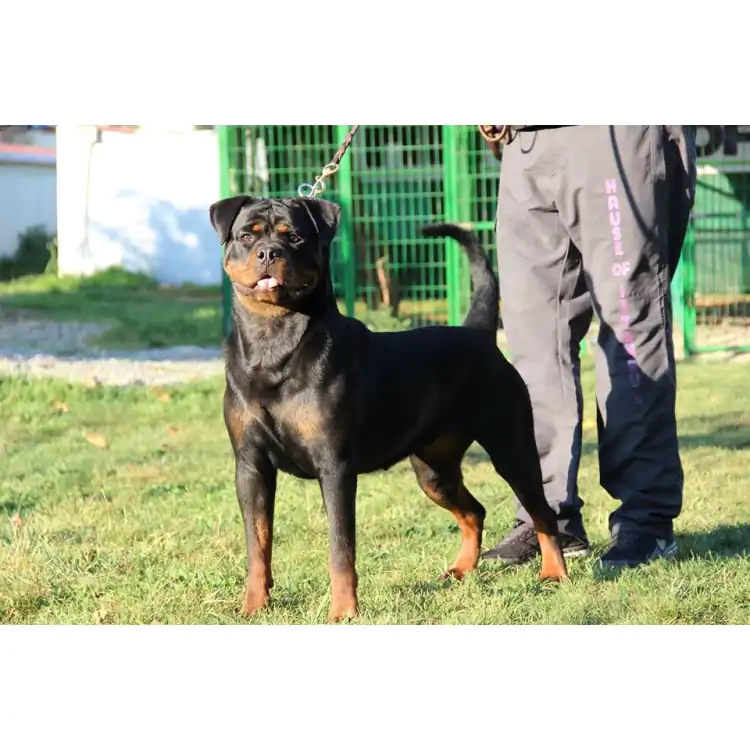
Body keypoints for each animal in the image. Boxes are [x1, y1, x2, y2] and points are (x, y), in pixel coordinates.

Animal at [209, 195, 568, 622]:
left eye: (293, 236)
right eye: (247, 235)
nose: (268, 252)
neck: (272, 343)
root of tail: (479, 334)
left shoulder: (334, 468)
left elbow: (341, 549)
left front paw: (343, 612)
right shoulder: (251, 466)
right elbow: (257, 544)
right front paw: (253, 606)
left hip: (512, 449)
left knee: (542, 511)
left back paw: (555, 574)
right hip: (434, 471)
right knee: (474, 511)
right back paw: (461, 570)